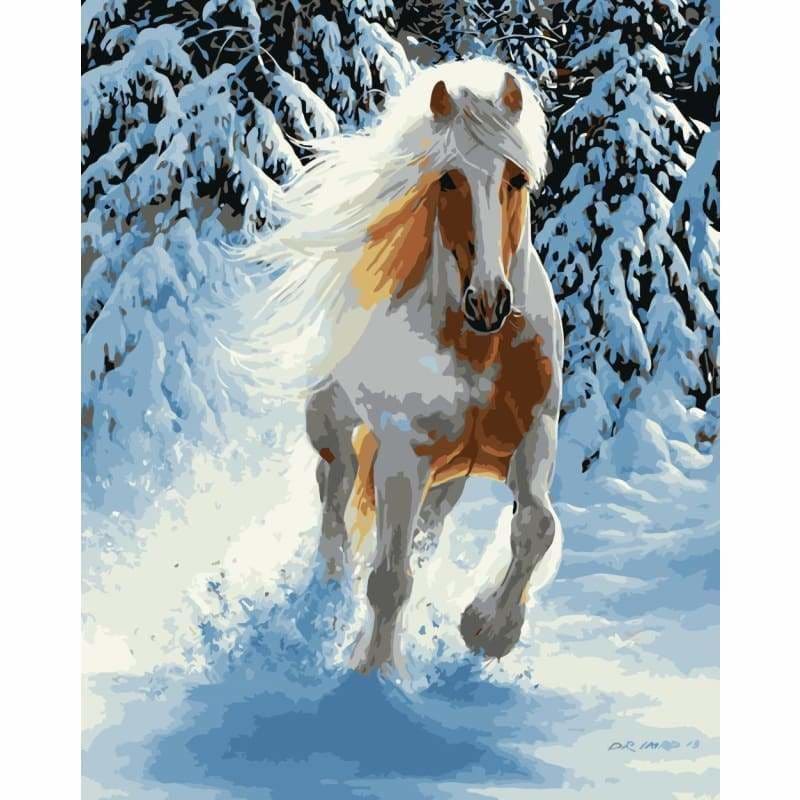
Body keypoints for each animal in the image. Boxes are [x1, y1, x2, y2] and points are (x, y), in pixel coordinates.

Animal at [239, 59, 564, 675]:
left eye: (515, 178)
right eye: (448, 179)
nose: (489, 302)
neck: (479, 350)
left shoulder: (534, 434)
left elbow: (536, 526)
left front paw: (487, 629)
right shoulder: (402, 455)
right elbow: (388, 579)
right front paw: (375, 673)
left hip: (448, 474)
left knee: (421, 532)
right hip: (337, 427)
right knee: (336, 497)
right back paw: (327, 597)